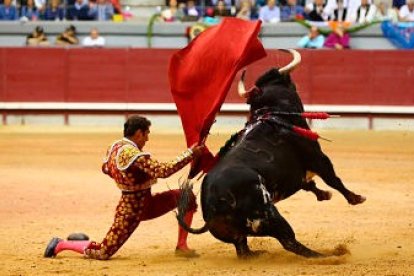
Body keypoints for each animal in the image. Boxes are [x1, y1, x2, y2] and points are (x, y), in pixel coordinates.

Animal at [177, 50, 366, 258]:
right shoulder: (317, 157)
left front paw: (324, 194)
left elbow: (310, 184)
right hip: (269, 214)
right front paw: (355, 198)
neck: (271, 111)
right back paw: (328, 256)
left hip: (235, 234)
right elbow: (333, 179)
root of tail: (213, 205)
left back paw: (259, 254)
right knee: (290, 242)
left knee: (243, 249)